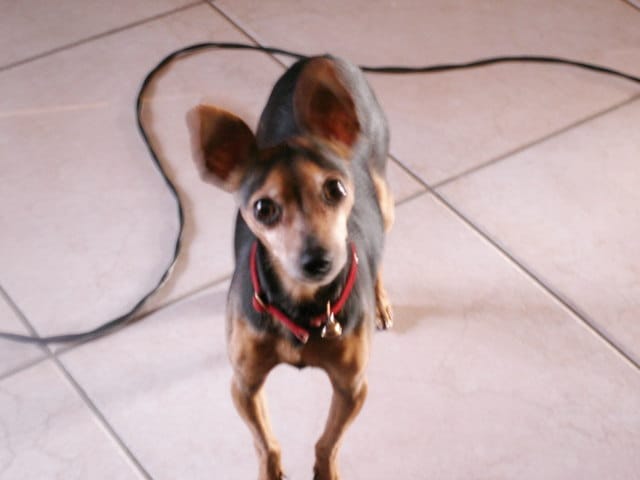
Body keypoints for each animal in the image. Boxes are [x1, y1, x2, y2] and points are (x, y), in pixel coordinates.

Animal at [187, 55, 393, 480]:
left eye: (335, 189)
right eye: (263, 208)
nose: (318, 259)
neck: (301, 305)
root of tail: (322, 57)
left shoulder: (352, 388)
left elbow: (328, 443)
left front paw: (325, 472)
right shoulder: (244, 386)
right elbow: (266, 444)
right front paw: (271, 472)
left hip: (386, 201)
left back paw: (380, 300)